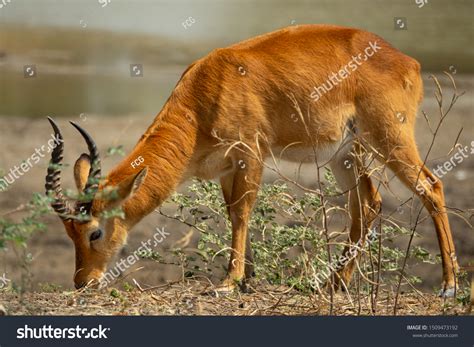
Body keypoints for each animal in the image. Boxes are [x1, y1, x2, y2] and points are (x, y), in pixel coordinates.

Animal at [46, 23, 458, 296]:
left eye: (94, 231)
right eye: (69, 233)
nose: (82, 282)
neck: (204, 96)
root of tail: (407, 61)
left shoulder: (250, 154)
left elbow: (243, 212)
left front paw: (228, 282)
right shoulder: (225, 169)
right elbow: (232, 213)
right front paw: (247, 279)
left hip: (389, 140)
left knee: (431, 186)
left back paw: (449, 287)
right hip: (344, 155)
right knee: (368, 203)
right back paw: (334, 284)